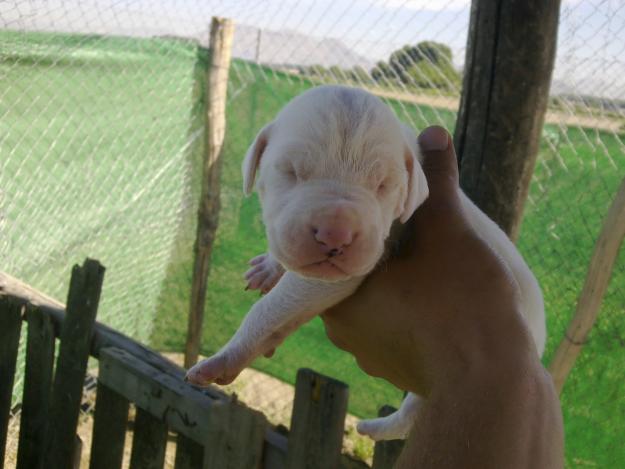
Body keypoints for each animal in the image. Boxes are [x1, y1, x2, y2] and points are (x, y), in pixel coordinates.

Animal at [183, 86, 544, 440]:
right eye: (291, 172)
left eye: (383, 185)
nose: (335, 234)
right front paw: (269, 268)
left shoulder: (337, 276)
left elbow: (268, 309)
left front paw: (222, 360)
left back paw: (377, 427)